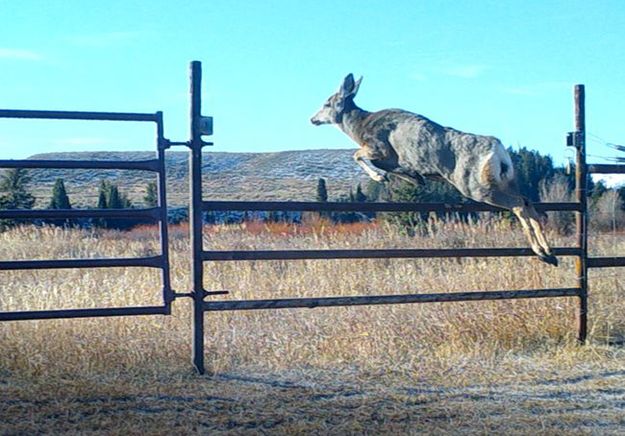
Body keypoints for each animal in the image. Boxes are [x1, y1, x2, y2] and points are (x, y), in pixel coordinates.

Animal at [310, 74, 560, 266]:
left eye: (326, 103)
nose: (312, 119)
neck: (360, 126)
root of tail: (498, 149)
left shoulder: (379, 146)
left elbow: (358, 155)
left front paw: (381, 177)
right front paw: (414, 178)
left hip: (474, 185)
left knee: (518, 205)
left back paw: (542, 252)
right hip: (506, 179)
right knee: (527, 201)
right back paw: (550, 252)